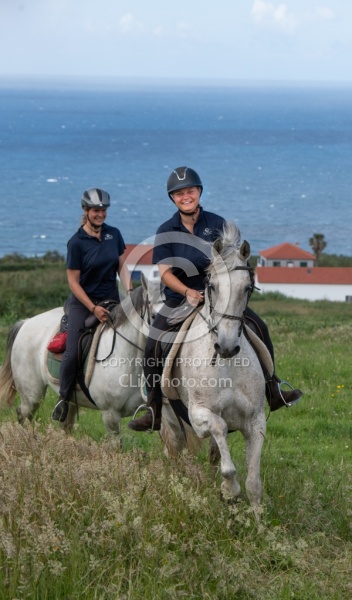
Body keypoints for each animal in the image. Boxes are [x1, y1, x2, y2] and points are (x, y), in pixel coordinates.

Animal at [160, 224, 266, 516]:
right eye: (212, 287)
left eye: (247, 288)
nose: (227, 346)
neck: (227, 366)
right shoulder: (198, 415)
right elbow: (219, 428)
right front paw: (230, 489)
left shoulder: (256, 420)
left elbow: (254, 482)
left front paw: (259, 520)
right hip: (170, 418)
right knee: (177, 452)